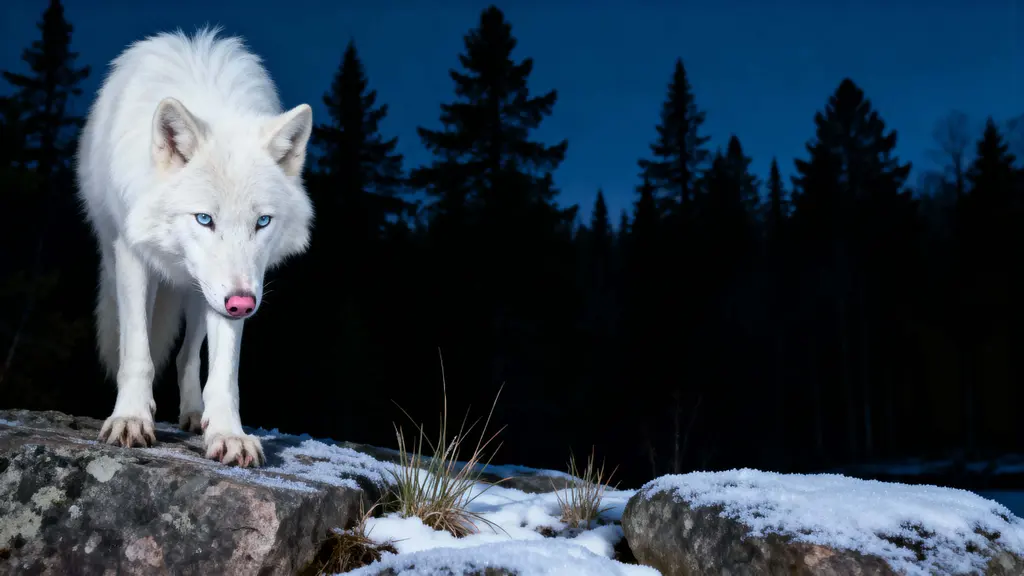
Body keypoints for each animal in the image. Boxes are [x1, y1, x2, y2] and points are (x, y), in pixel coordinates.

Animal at [76, 27, 314, 467]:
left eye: (262, 222)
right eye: (204, 219)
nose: (242, 305)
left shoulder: (237, 285)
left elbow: (224, 374)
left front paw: (228, 434)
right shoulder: (132, 256)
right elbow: (137, 352)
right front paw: (131, 418)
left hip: (202, 291)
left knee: (187, 356)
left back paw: (193, 414)